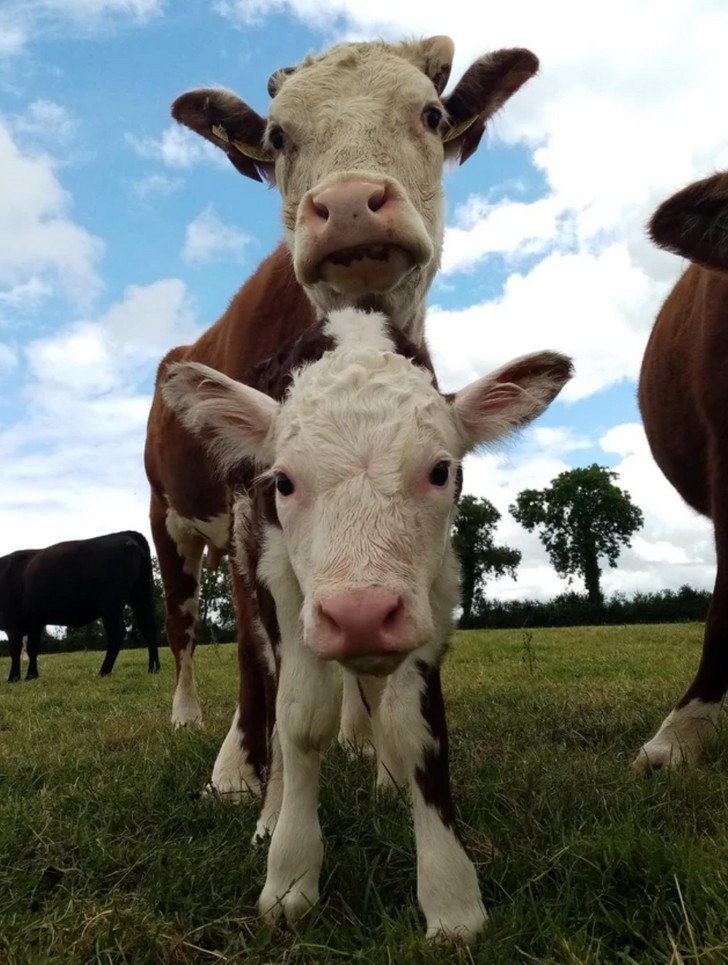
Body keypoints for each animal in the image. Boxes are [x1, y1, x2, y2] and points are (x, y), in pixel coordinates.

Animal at [0, 532, 160, 680]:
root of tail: (126, 534)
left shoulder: (13, 623)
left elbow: (15, 650)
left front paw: (13, 678)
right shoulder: (36, 623)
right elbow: (32, 648)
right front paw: (31, 676)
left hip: (111, 604)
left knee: (118, 633)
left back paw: (103, 671)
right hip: (140, 596)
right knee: (149, 628)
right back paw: (153, 668)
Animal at [144, 35, 540, 800]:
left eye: (431, 113)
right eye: (277, 137)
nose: (352, 203)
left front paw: (384, 761)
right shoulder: (251, 498)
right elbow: (254, 648)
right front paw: (242, 769)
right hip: (168, 521)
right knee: (182, 626)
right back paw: (186, 717)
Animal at [162, 308, 572, 940]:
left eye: (440, 471)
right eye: (283, 481)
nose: (359, 615)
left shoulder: (435, 588)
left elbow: (414, 726)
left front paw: (450, 897)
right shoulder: (280, 578)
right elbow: (301, 719)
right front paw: (289, 877)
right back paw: (271, 812)